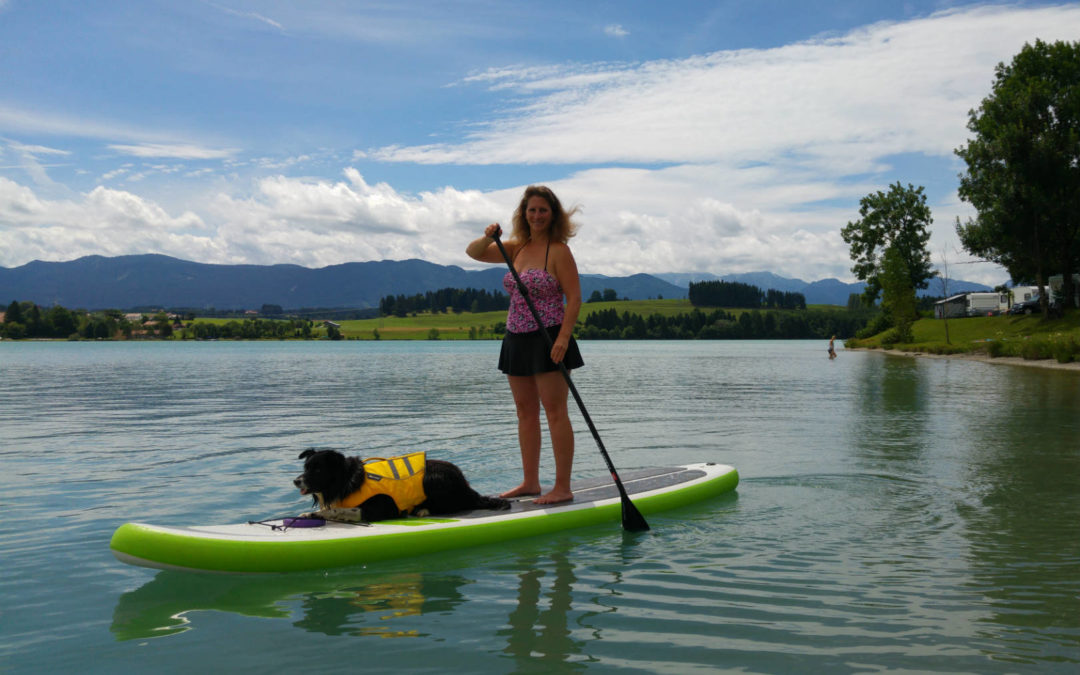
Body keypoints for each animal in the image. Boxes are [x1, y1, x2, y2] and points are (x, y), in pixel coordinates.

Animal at [291, 449, 509, 524]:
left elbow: (341, 510)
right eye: (306, 467)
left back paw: (422, 510)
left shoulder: (380, 508)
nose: (296, 481)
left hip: (434, 477)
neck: (347, 480)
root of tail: (466, 486)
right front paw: (307, 514)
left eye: (318, 470)